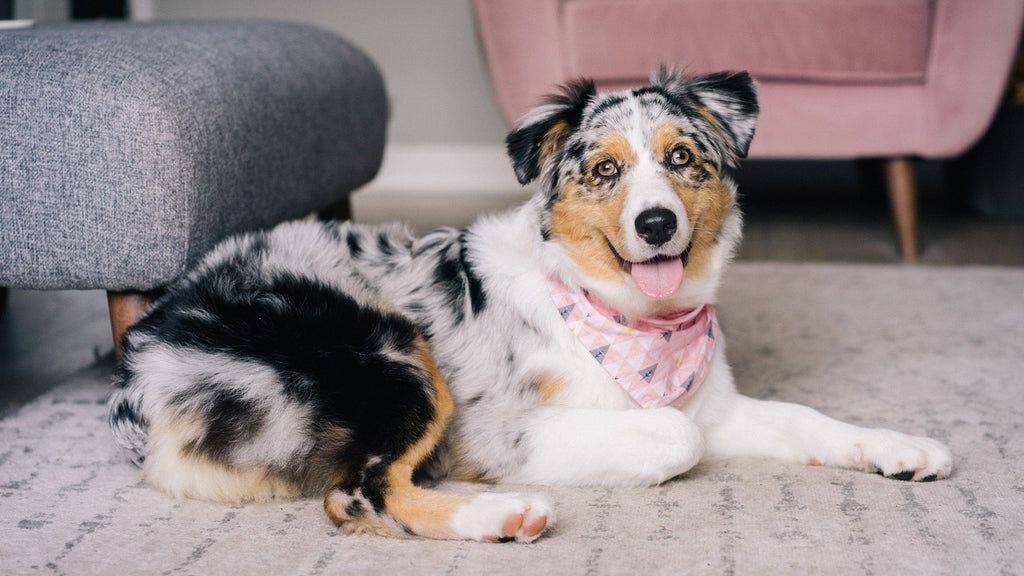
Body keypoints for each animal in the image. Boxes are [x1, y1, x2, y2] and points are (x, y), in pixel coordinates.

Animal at [108, 69, 954, 541]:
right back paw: (502, 517)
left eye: (682, 158)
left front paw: (902, 446)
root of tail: (141, 366)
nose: (657, 224)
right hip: (394, 354)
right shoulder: (501, 430)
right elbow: (675, 434)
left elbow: (805, 420)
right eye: (605, 171)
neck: (626, 317)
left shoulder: (716, 404)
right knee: (356, 492)